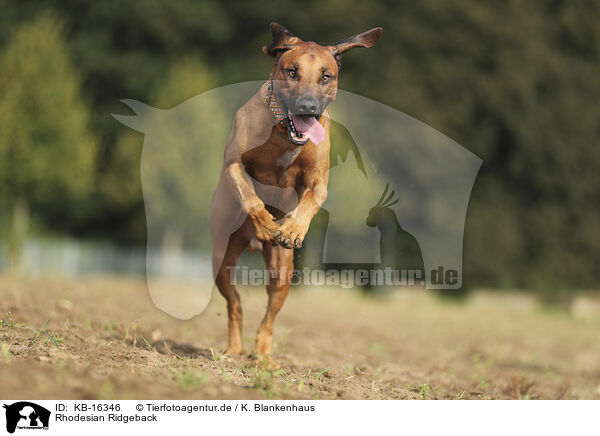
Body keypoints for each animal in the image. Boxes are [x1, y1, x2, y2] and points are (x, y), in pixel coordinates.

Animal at [209, 21, 382, 368]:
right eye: (292, 71)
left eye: (326, 76)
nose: (308, 107)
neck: (284, 133)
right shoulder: (234, 164)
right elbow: (250, 194)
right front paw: (266, 222)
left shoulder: (318, 181)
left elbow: (311, 200)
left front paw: (291, 229)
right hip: (221, 259)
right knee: (235, 303)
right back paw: (234, 350)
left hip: (282, 274)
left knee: (268, 319)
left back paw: (263, 358)